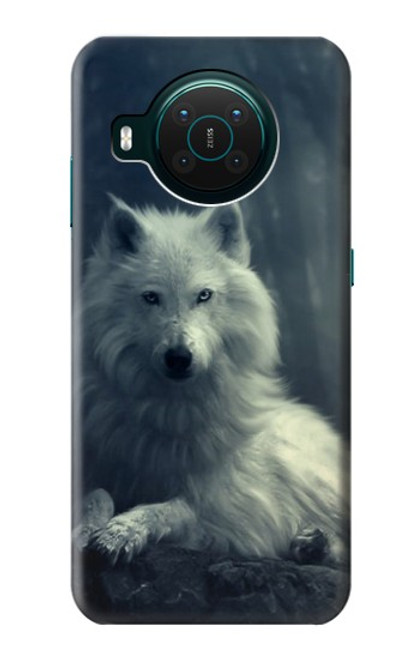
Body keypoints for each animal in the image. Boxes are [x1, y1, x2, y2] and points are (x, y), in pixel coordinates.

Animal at [73, 197, 348, 566]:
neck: (170, 412)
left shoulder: (228, 514)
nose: (178, 357)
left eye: (204, 295)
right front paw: (86, 529)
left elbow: (174, 508)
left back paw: (315, 542)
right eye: (151, 297)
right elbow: (98, 494)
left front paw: (122, 532)